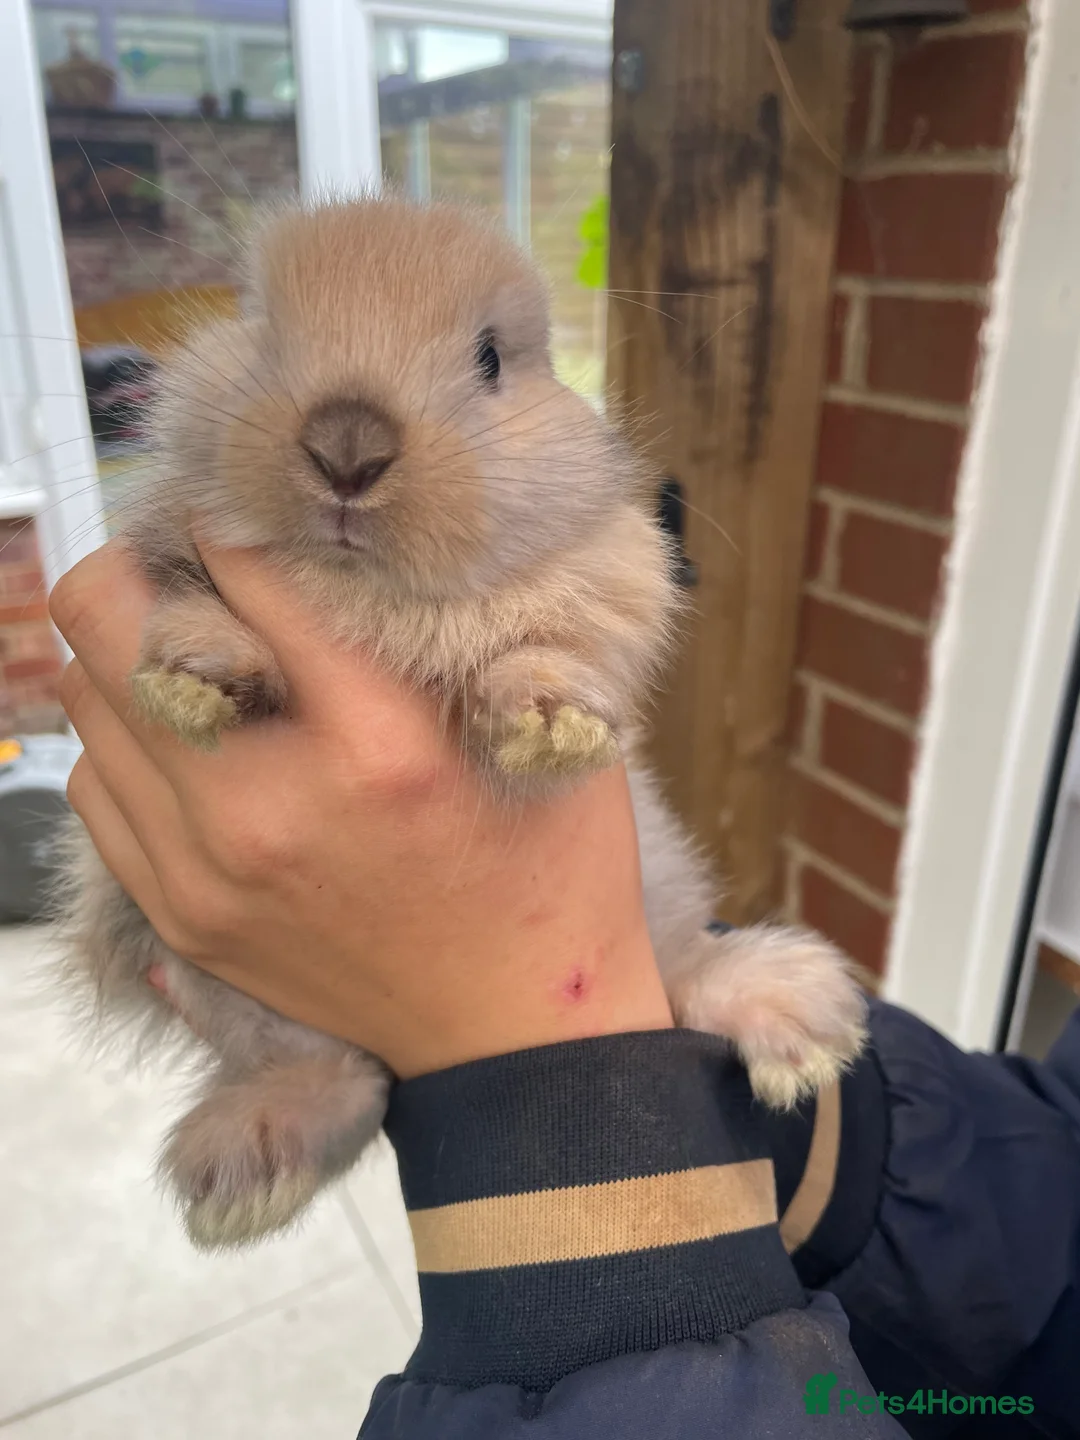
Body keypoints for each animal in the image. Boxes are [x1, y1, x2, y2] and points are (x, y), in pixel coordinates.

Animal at [54, 196, 866, 1251]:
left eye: (489, 358)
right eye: (262, 328)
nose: (347, 449)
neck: (371, 593)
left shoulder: (611, 587)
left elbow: (550, 654)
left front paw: (550, 721)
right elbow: (196, 613)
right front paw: (197, 679)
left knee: (682, 973)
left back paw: (799, 1024)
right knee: (339, 1076)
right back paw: (251, 1174)